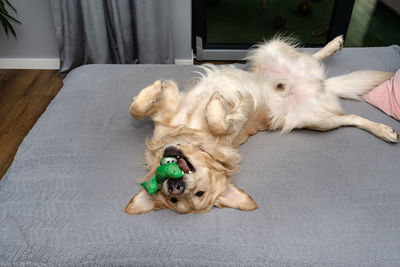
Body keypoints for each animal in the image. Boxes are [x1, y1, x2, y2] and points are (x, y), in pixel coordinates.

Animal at [124, 36, 396, 216]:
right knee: (351, 115)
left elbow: (139, 110)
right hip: (317, 119)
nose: (175, 186)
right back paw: (384, 129)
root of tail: (321, 86)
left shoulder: (182, 111)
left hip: (272, 54)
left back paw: (334, 45)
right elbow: (138, 111)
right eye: (172, 200)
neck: (189, 138)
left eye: (199, 194)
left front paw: (212, 100)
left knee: (310, 58)